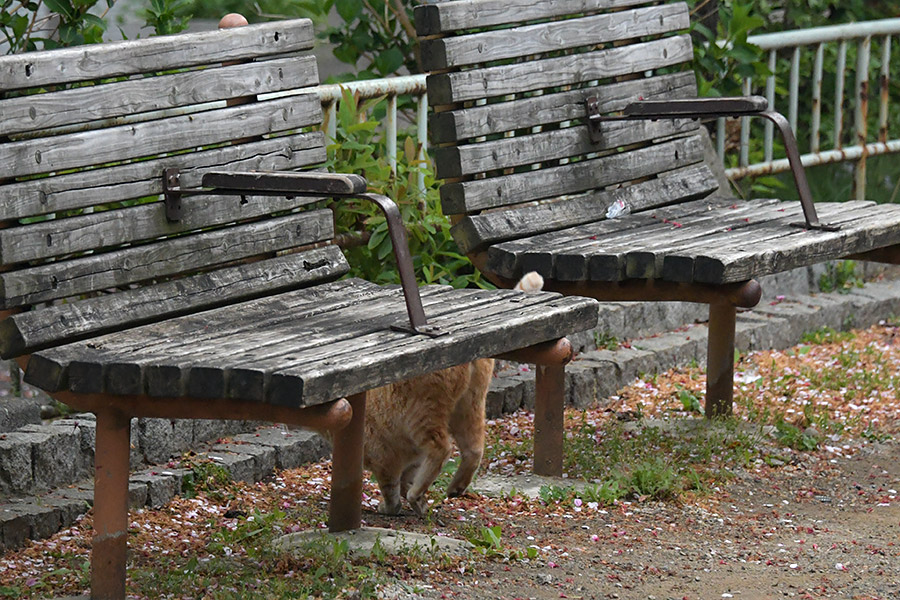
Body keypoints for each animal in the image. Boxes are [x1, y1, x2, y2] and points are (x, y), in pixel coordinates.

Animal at [364, 272, 544, 516]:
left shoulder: (384, 459)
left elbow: (391, 487)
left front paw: (394, 505)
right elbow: (406, 477)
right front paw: (418, 503)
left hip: (423, 415)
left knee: (442, 448)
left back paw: (417, 493)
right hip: (470, 405)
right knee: (474, 450)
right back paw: (455, 488)